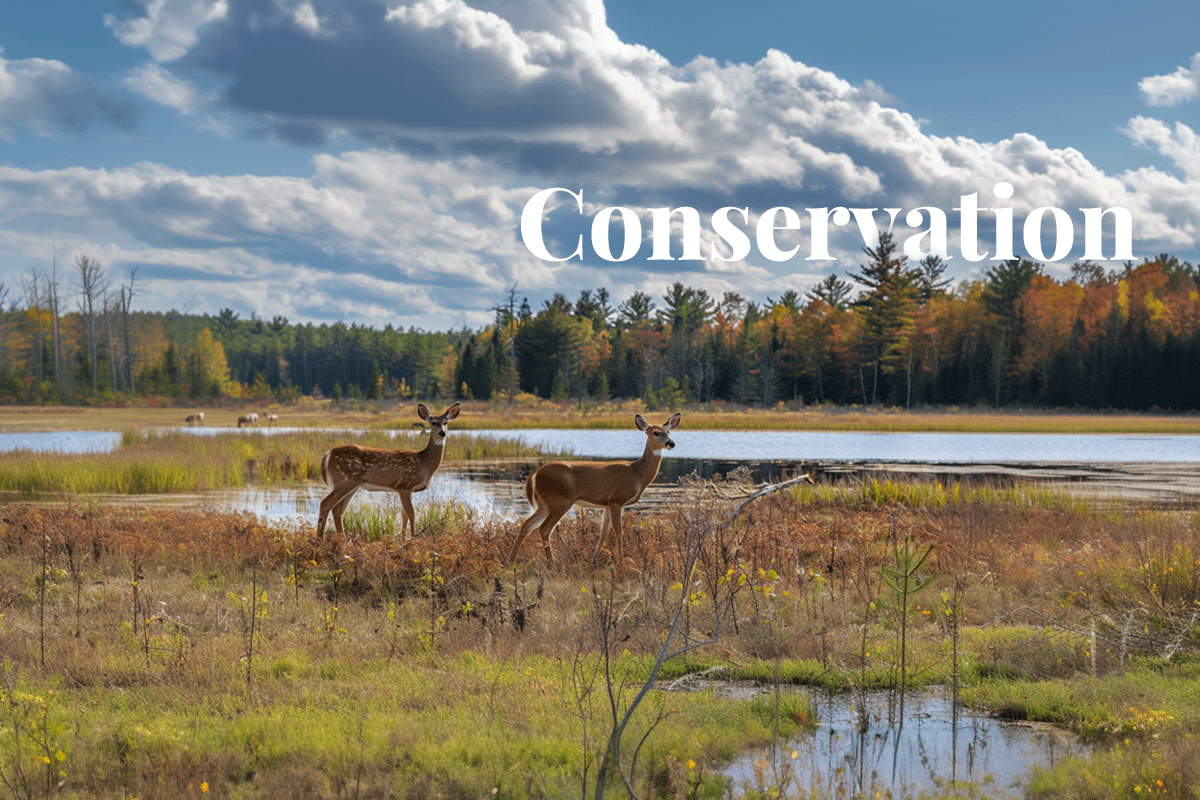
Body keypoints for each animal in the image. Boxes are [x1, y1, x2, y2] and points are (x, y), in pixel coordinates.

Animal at [316, 402, 460, 542]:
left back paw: (343, 542)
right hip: (345, 480)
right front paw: (413, 539)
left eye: (446, 422)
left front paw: (404, 540)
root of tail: (326, 455)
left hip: (352, 485)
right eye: (433, 422)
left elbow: (404, 515)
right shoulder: (405, 485)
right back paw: (320, 541)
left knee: (338, 510)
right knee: (326, 504)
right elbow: (412, 514)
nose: (442, 433)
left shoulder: (408, 490)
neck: (424, 463)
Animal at [504, 412, 681, 563]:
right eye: (656, 433)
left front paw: (594, 561)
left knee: (526, 525)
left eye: (668, 432)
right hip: (560, 500)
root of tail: (535, 474)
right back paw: (551, 564)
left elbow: (603, 533)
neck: (637, 473)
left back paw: (510, 561)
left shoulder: (607, 504)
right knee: (544, 529)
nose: (671, 443)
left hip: (544, 504)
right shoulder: (617, 500)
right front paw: (621, 564)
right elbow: (618, 533)